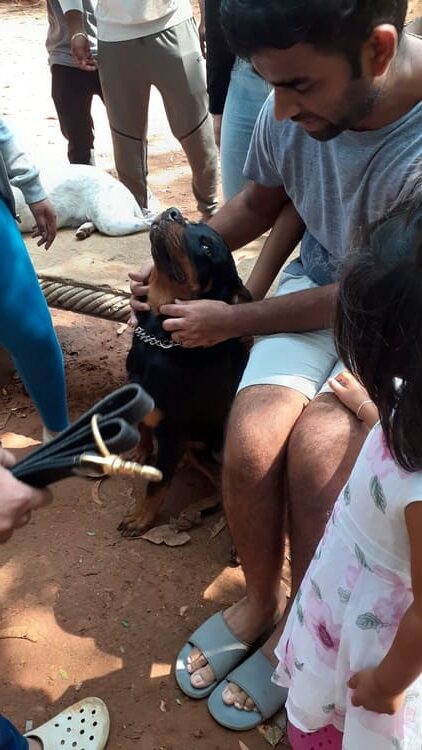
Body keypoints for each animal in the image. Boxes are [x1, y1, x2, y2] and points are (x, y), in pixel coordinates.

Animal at [118, 206, 251, 536]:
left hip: (207, 448)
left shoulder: (174, 432)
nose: (173, 212)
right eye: (192, 223)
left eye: (207, 247)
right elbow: (143, 427)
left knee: (221, 490)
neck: (158, 339)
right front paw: (141, 452)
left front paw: (141, 518)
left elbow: (158, 482)